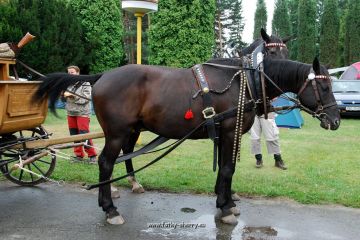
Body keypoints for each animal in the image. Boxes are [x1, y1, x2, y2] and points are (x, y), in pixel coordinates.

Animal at [34, 53, 340, 224]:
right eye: (324, 87)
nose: (336, 120)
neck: (245, 82)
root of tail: (102, 77)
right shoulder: (229, 130)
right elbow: (227, 168)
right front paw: (226, 208)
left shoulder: (227, 134)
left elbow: (227, 169)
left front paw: (225, 201)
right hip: (117, 133)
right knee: (106, 163)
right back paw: (110, 209)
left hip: (131, 131)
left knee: (123, 156)